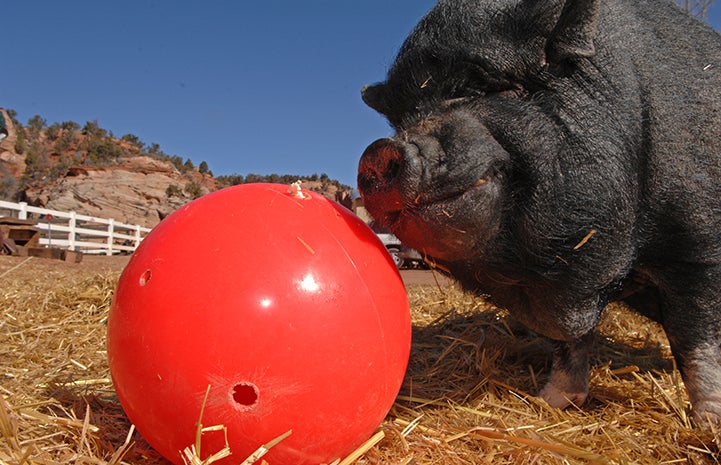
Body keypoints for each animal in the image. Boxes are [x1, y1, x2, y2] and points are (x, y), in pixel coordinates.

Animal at [358, 0, 720, 420]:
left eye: (491, 87)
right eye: (401, 118)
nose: (381, 150)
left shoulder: (698, 251)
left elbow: (696, 342)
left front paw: (707, 424)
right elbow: (571, 341)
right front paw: (550, 402)